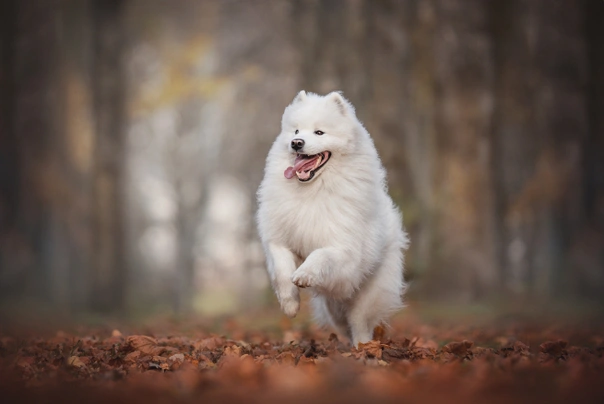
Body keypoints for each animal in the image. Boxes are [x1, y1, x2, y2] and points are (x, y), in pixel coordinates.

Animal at [258, 90, 408, 346]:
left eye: (319, 132)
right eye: (296, 131)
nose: (296, 143)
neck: (312, 191)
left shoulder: (343, 249)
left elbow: (321, 255)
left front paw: (305, 274)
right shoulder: (278, 239)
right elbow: (281, 268)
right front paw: (290, 304)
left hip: (366, 295)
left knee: (360, 323)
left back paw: (362, 347)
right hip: (333, 306)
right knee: (343, 323)